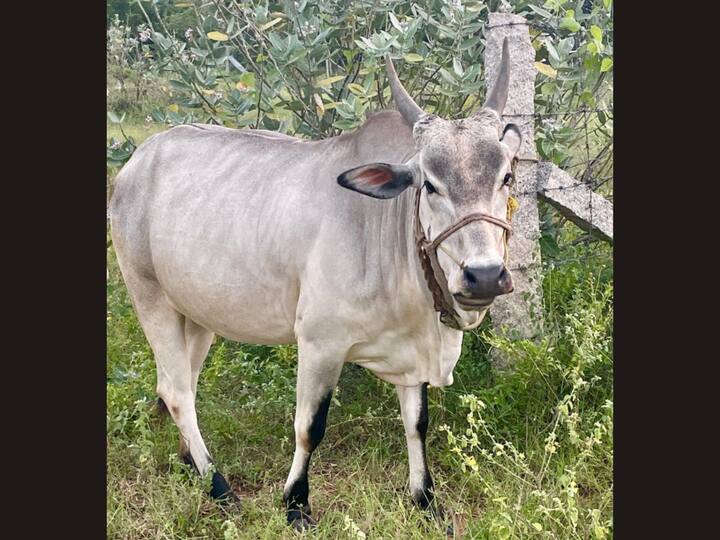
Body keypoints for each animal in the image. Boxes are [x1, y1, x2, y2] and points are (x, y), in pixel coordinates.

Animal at [109, 38, 521, 531]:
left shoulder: (412, 353)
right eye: (430, 185)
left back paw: (192, 464)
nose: (485, 275)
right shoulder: (320, 342)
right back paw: (220, 488)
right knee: (177, 393)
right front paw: (296, 504)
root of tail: (136, 161)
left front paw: (426, 501)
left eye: (507, 176)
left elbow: (416, 423)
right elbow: (309, 427)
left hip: (196, 312)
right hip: (148, 295)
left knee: (179, 382)